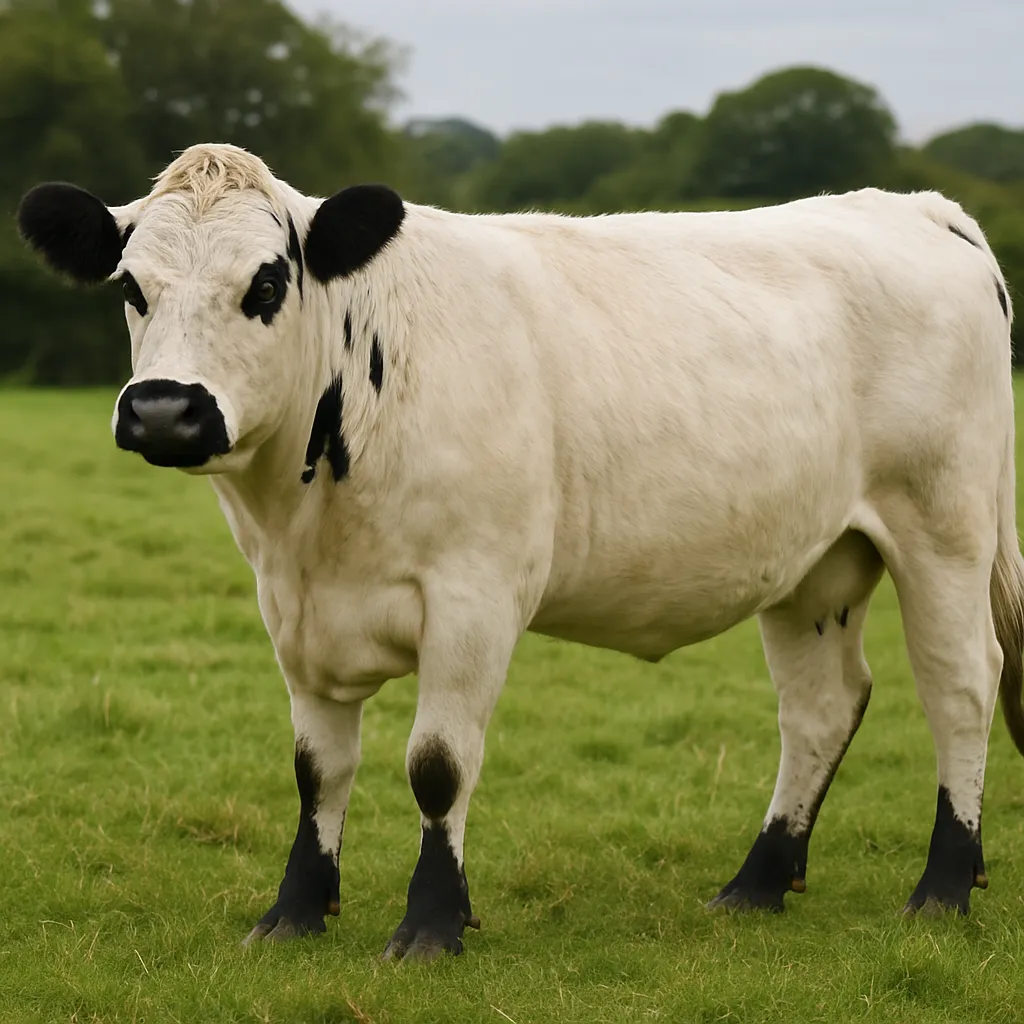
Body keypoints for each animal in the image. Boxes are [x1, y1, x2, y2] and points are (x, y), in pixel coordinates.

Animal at [16, 142, 1024, 961]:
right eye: (131, 287)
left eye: (265, 285)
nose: (163, 410)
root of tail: (915, 206)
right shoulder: (293, 610)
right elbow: (316, 770)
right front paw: (294, 914)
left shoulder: (474, 596)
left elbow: (437, 764)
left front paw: (431, 925)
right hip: (815, 562)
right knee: (822, 706)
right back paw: (758, 884)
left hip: (944, 526)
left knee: (961, 684)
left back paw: (942, 889)